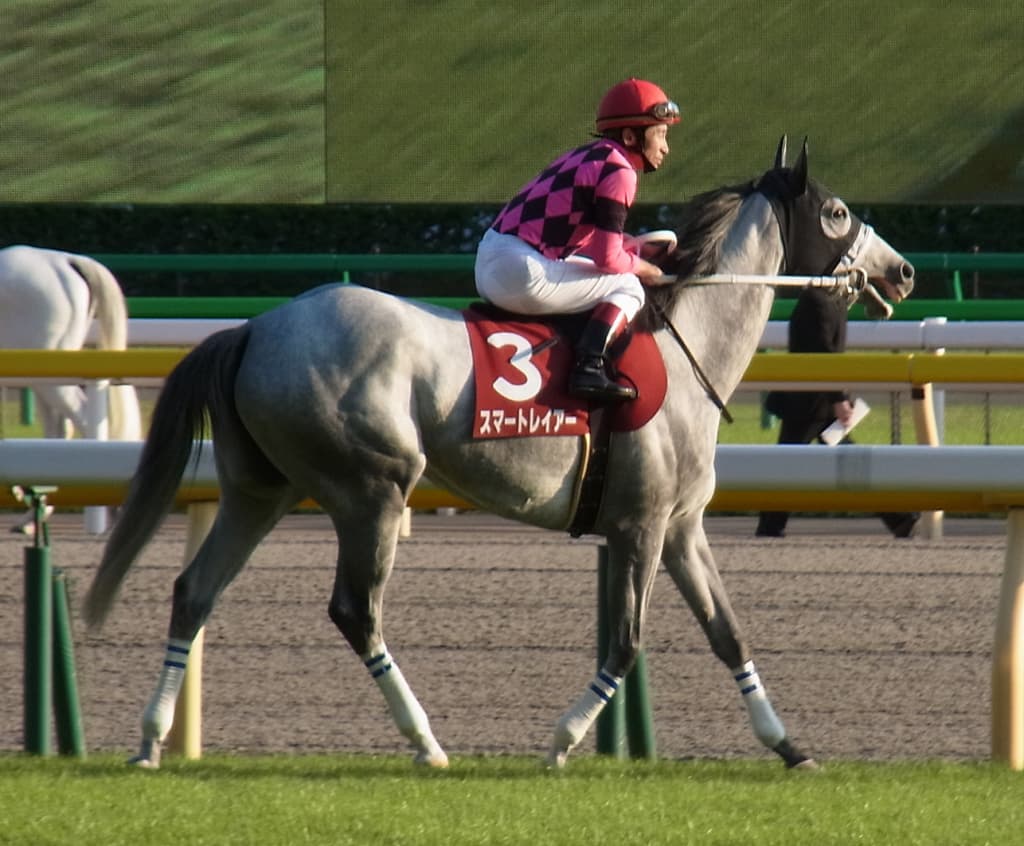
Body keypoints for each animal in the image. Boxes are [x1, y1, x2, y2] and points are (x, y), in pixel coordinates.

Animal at [0, 246, 143, 530]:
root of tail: (67, 261)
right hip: (45, 379)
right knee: (58, 433)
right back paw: (33, 517)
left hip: (51, 378)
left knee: (85, 422)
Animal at [83, 138, 915, 770]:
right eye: (838, 212)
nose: (901, 270)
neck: (688, 351)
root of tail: (255, 328)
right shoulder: (641, 527)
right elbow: (625, 643)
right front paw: (562, 741)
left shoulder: (681, 529)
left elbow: (728, 631)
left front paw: (790, 746)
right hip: (371, 487)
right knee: (356, 610)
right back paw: (426, 743)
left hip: (263, 489)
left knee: (195, 590)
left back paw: (150, 741)